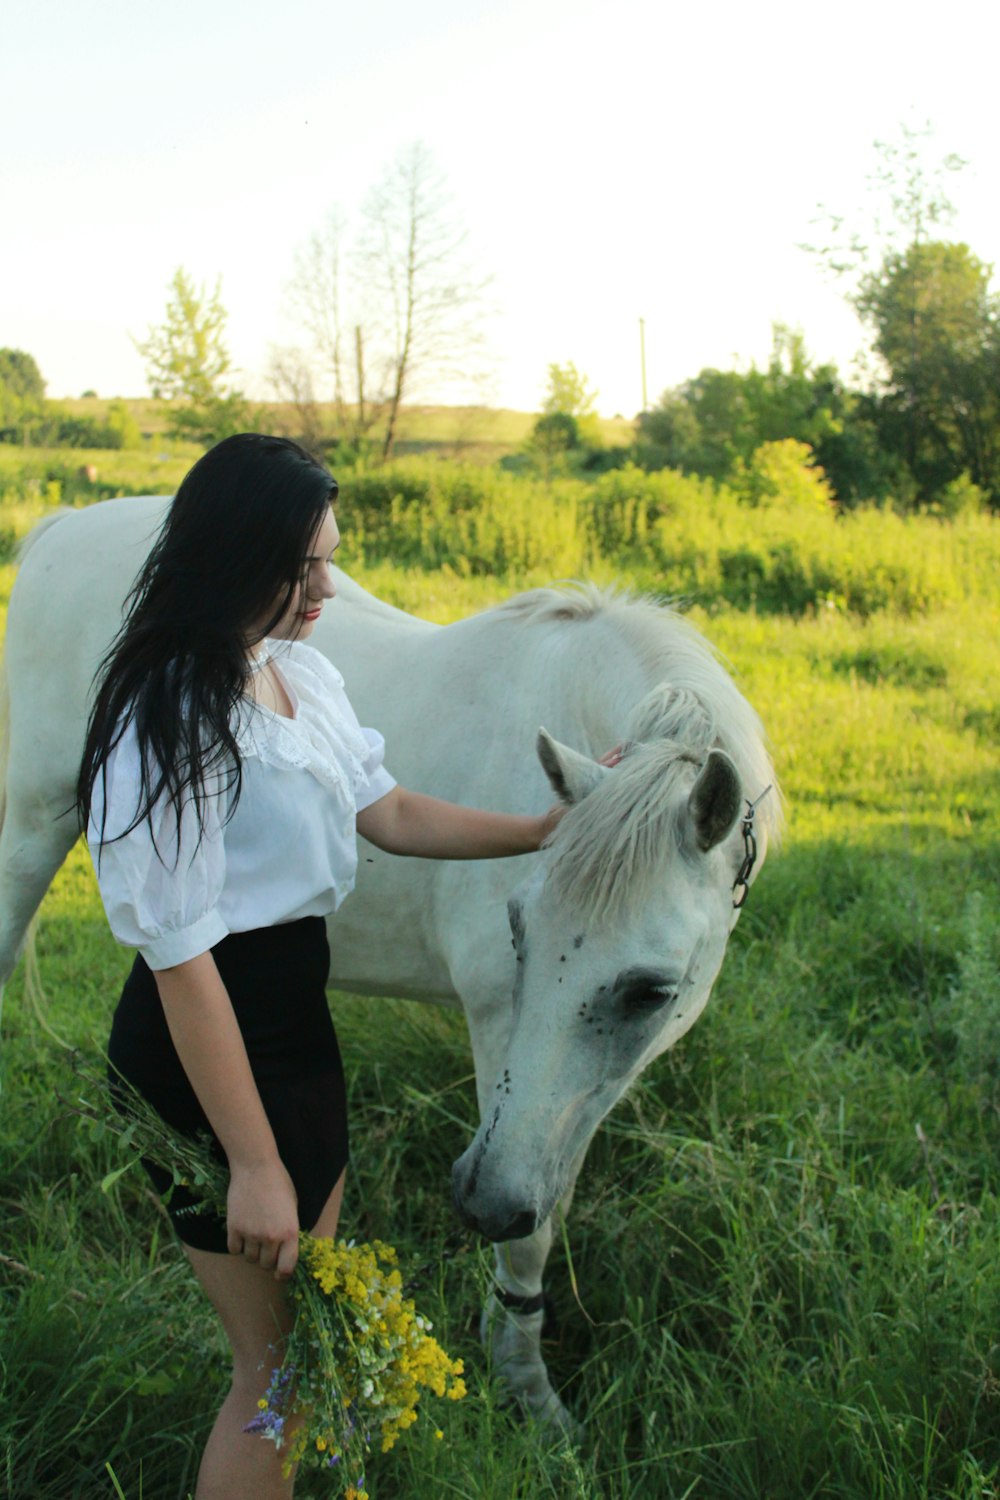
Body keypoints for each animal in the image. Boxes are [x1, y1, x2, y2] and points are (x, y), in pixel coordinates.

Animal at [0, 492, 779, 1428]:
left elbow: (549, 1183)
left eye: (651, 991)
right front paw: (529, 1392)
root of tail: (66, 525)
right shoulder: (502, 1032)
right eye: (518, 932)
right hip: (29, 833)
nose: (477, 1201)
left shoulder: (595, 1080)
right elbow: (532, 1230)